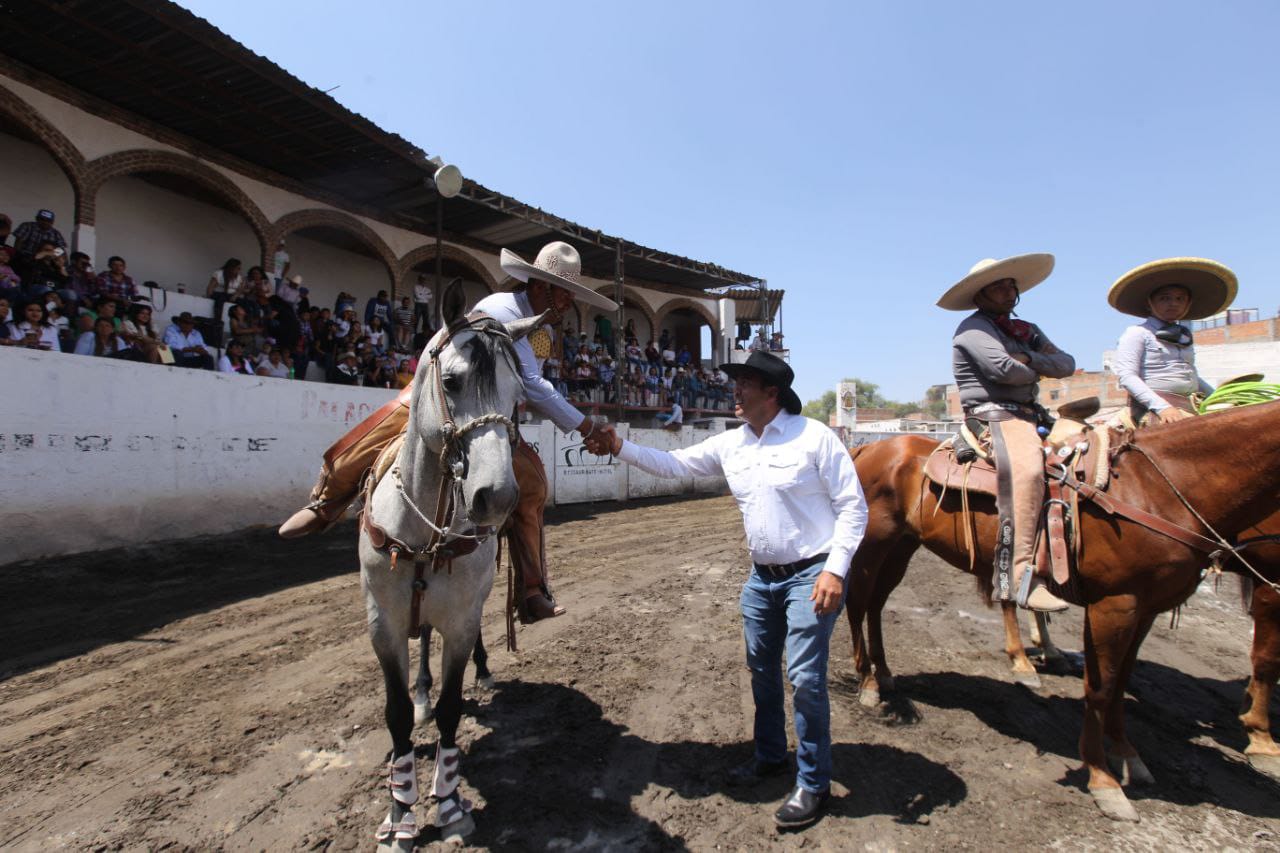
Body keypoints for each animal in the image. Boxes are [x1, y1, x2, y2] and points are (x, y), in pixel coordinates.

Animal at [359, 288, 544, 849]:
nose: (496, 496)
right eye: (451, 381)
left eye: (517, 394)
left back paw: (482, 672)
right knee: (422, 646)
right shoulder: (383, 624)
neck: (424, 529)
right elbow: (397, 712)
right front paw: (400, 813)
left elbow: (450, 707)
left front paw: (449, 805)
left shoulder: (461, 620)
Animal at [844, 401, 1280, 822]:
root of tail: (870, 449)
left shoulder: (1145, 610)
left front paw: (1128, 755)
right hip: (875, 544)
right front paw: (1104, 780)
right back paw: (868, 682)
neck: (1159, 486)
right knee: (858, 603)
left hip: (903, 546)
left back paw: (885, 673)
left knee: (877, 604)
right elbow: (1101, 688)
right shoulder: (1115, 604)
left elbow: (1121, 683)